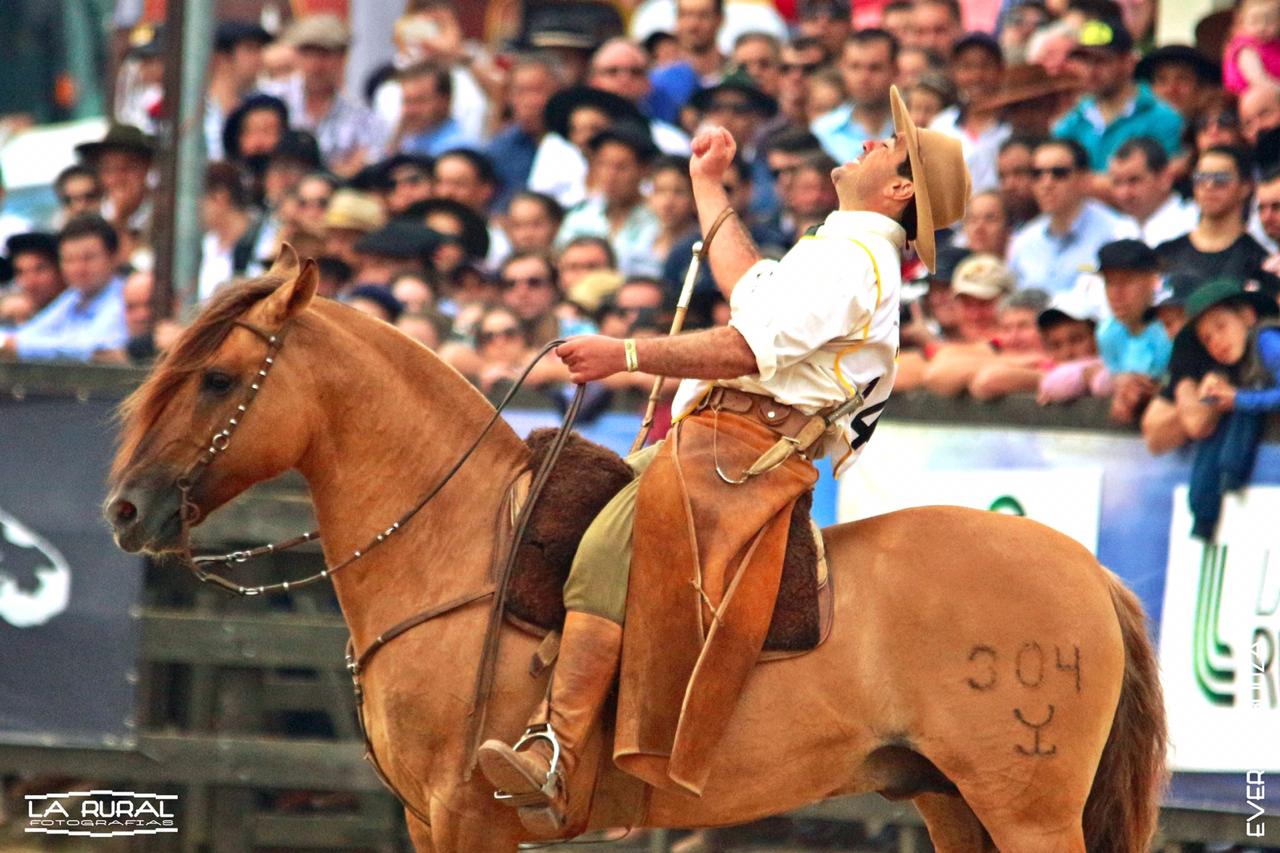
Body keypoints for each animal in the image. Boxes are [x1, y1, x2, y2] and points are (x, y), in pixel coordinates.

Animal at [112, 258, 1172, 850]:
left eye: (216, 379)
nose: (126, 510)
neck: (459, 543)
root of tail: (1090, 573)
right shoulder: (426, 816)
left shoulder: (467, 813)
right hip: (953, 802)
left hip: (1028, 810)